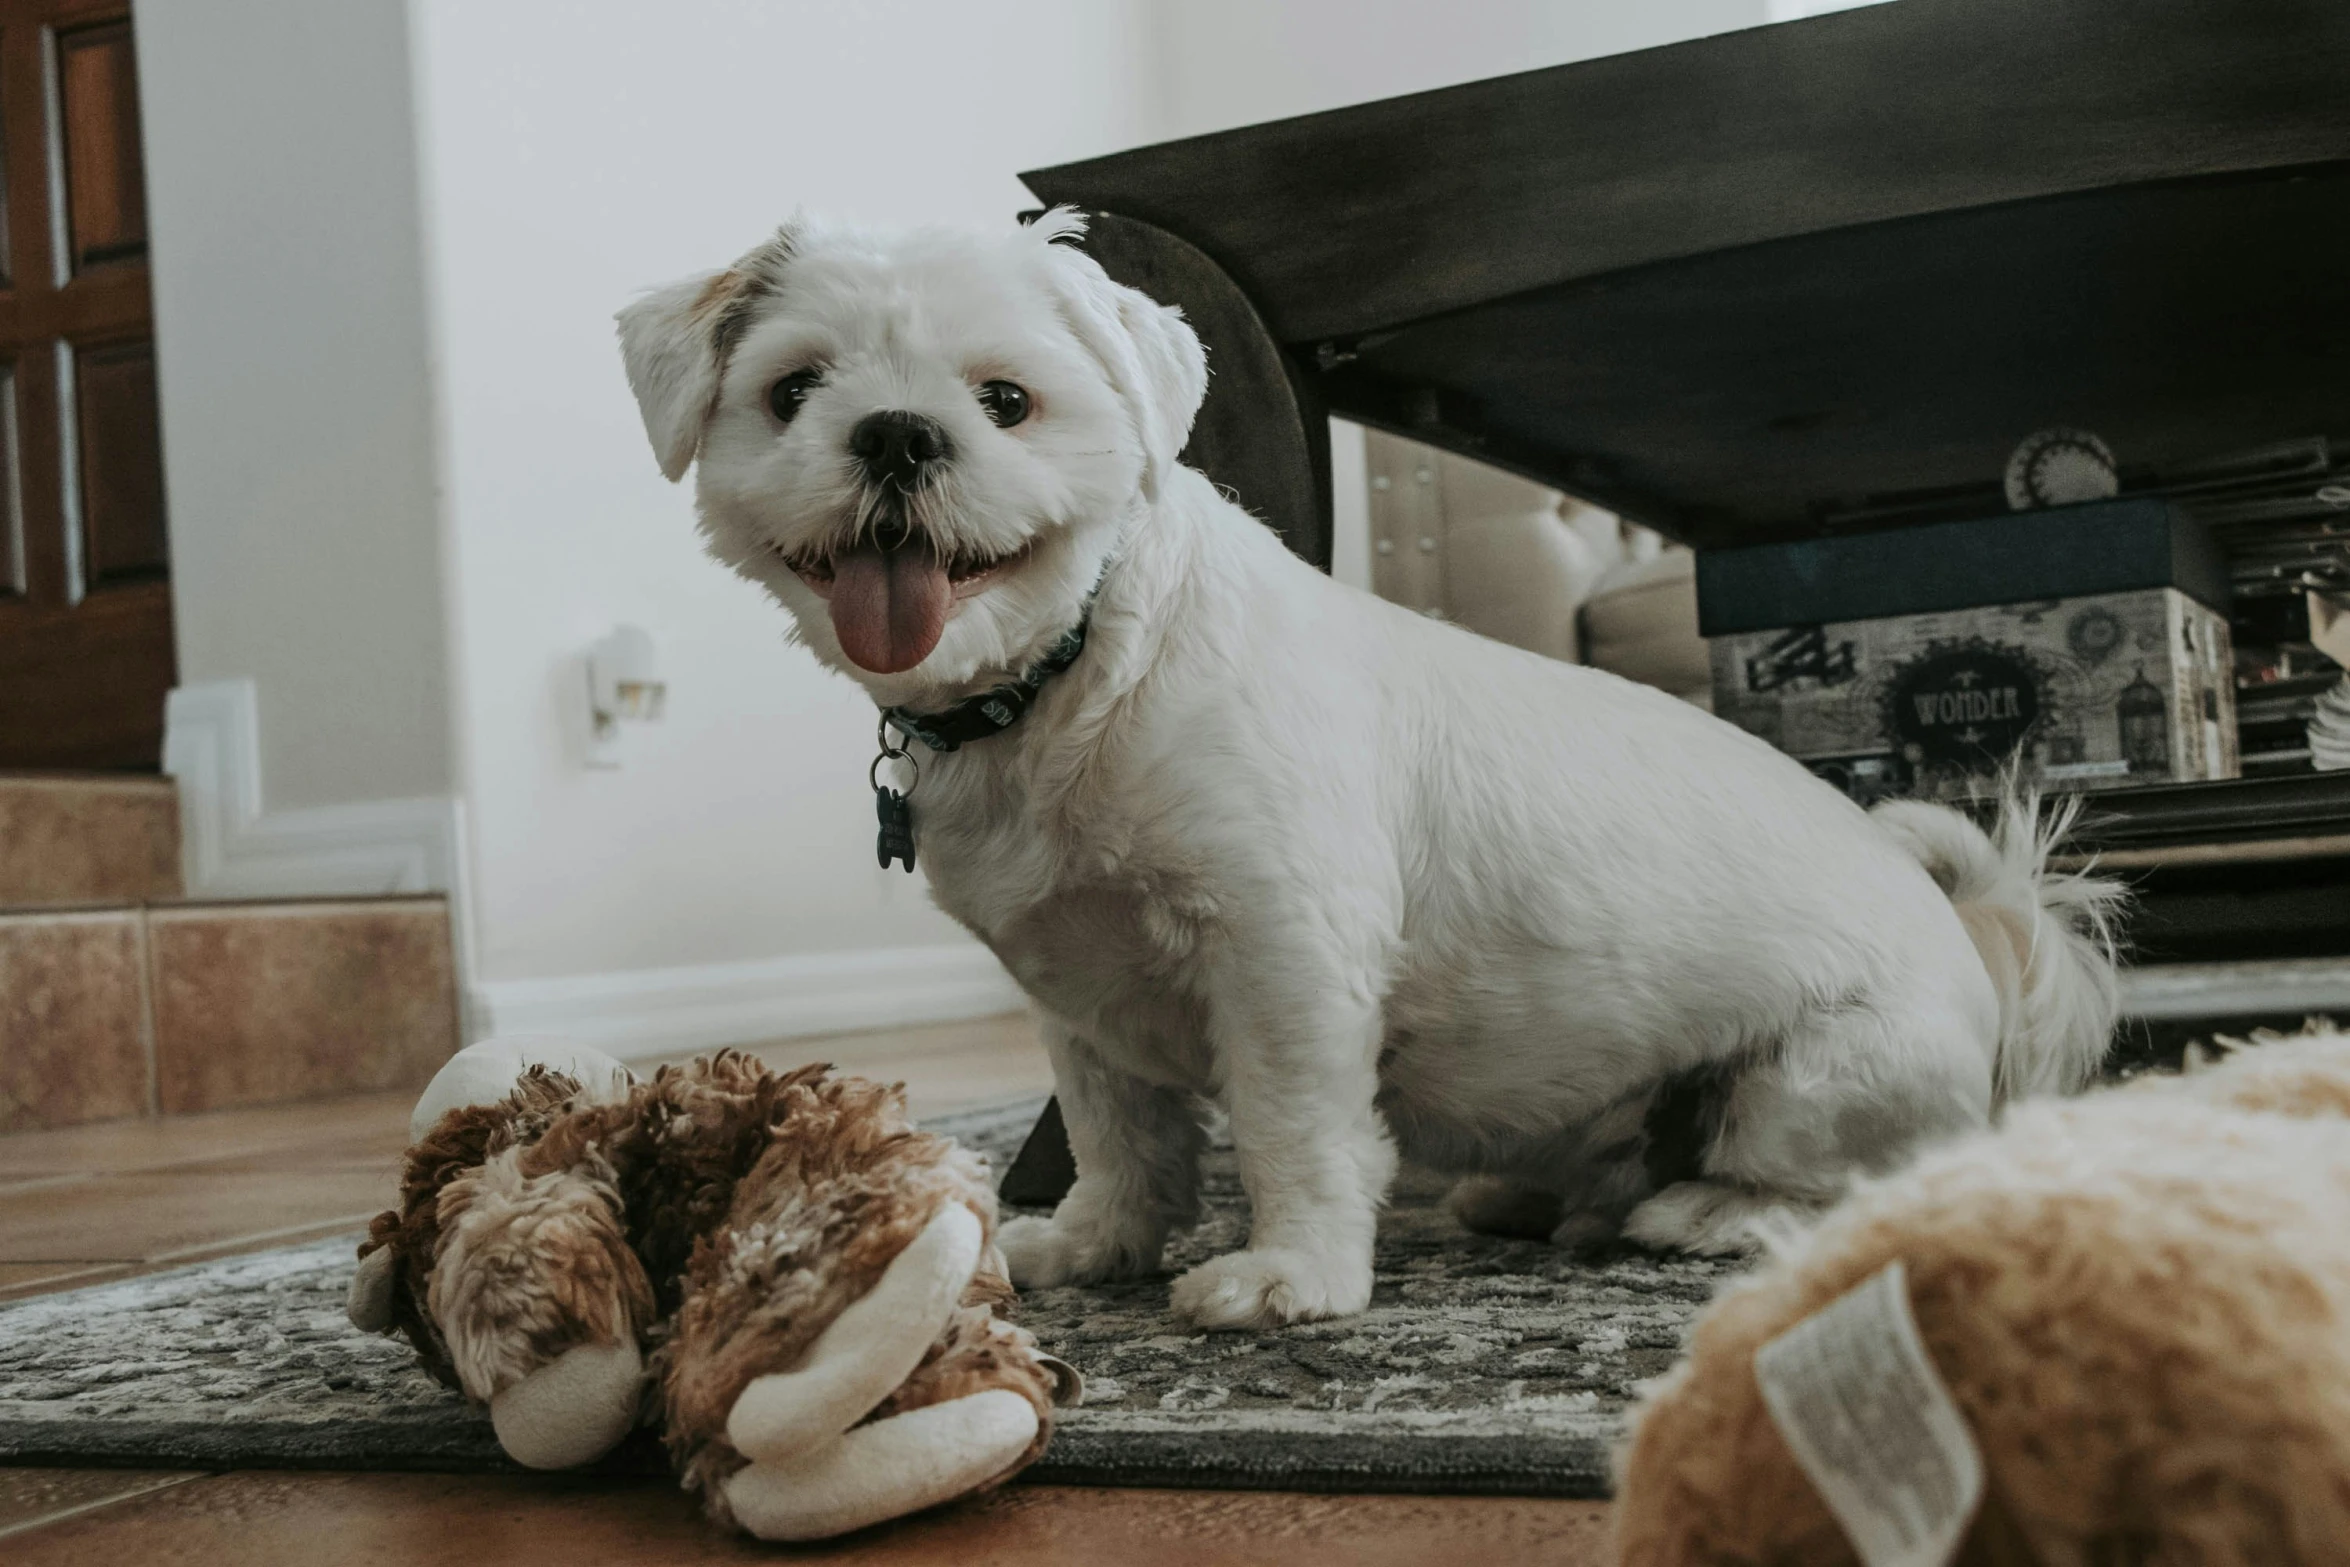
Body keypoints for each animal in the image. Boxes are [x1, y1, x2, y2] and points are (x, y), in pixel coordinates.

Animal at [615, 211, 2124, 1325]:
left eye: (1005, 400)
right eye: (794, 390)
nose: (896, 434)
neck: (1065, 677)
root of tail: (1980, 934)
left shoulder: (1282, 949)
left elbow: (1291, 1123)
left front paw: (1291, 1277)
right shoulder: (1076, 992)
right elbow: (1120, 1135)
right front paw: (1091, 1244)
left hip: (1815, 1079)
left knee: (1837, 1180)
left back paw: (1702, 1211)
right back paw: (1533, 1198)